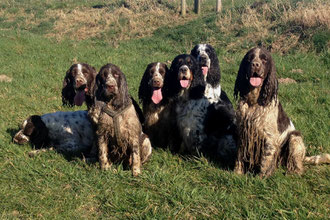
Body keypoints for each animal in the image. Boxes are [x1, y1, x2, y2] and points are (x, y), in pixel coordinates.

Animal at [233, 47, 328, 178]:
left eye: (264, 59)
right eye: (249, 58)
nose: (255, 64)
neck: (254, 102)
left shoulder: (270, 139)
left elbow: (265, 162)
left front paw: (260, 178)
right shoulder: (243, 131)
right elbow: (239, 156)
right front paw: (236, 173)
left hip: (294, 138)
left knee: (298, 166)